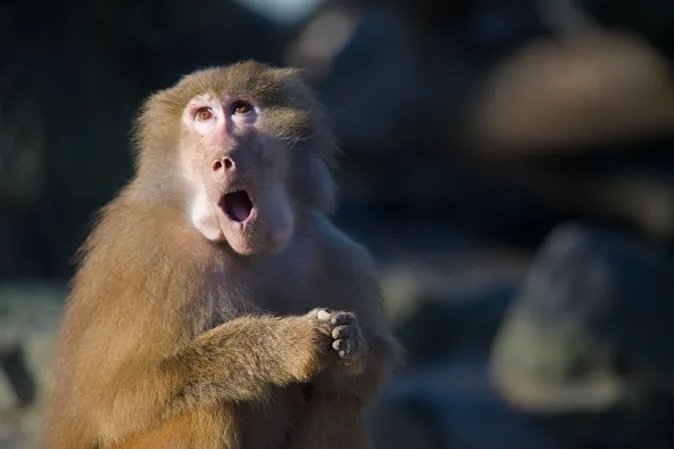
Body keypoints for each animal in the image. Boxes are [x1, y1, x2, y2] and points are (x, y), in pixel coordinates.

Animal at [43, 61, 402, 449]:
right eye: (203, 116)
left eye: (241, 109)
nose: (224, 161)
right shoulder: (146, 259)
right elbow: (116, 400)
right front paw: (284, 344)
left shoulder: (336, 252)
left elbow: (365, 375)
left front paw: (351, 343)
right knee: (206, 406)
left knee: (338, 400)